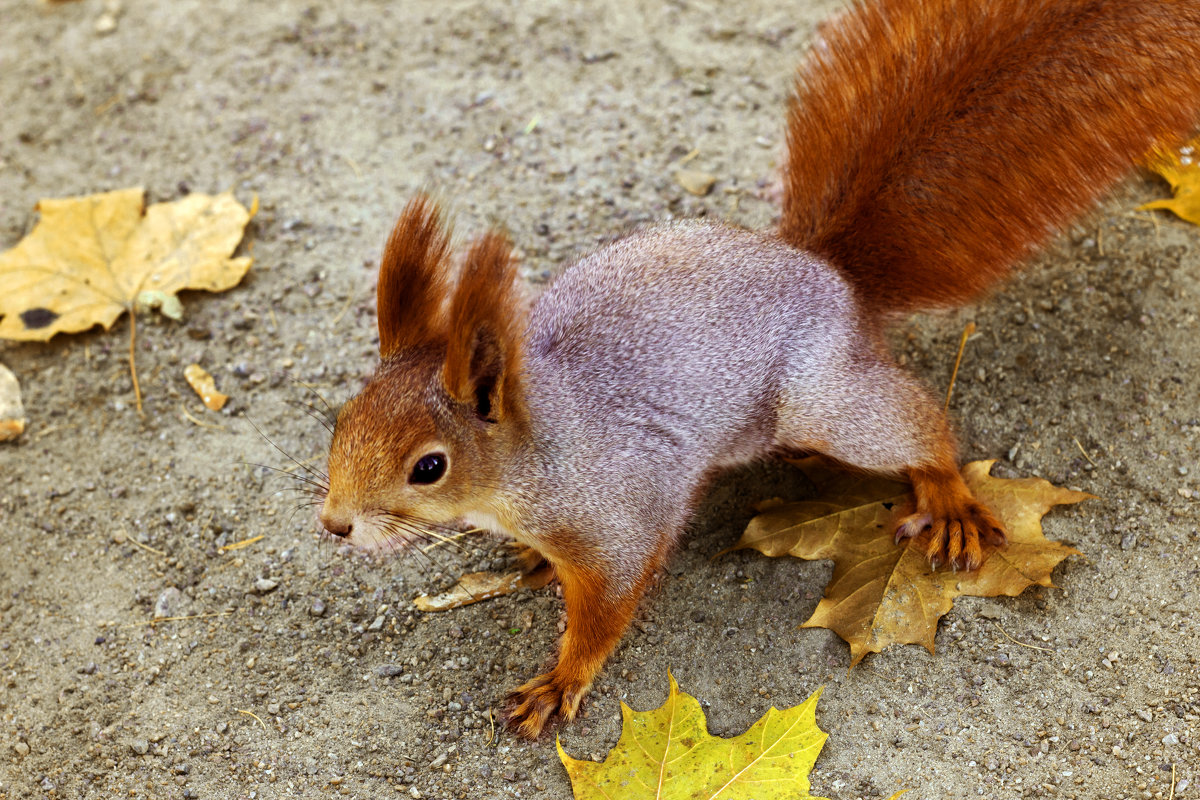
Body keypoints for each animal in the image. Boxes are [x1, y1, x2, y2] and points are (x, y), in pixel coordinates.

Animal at [316, 0, 1200, 738]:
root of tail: (828, 272)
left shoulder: (619, 520)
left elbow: (605, 611)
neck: (531, 459)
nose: (334, 525)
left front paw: (560, 682)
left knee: (919, 424)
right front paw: (530, 564)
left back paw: (945, 494)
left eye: (429, 467)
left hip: (825, 399)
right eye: (342, 420)